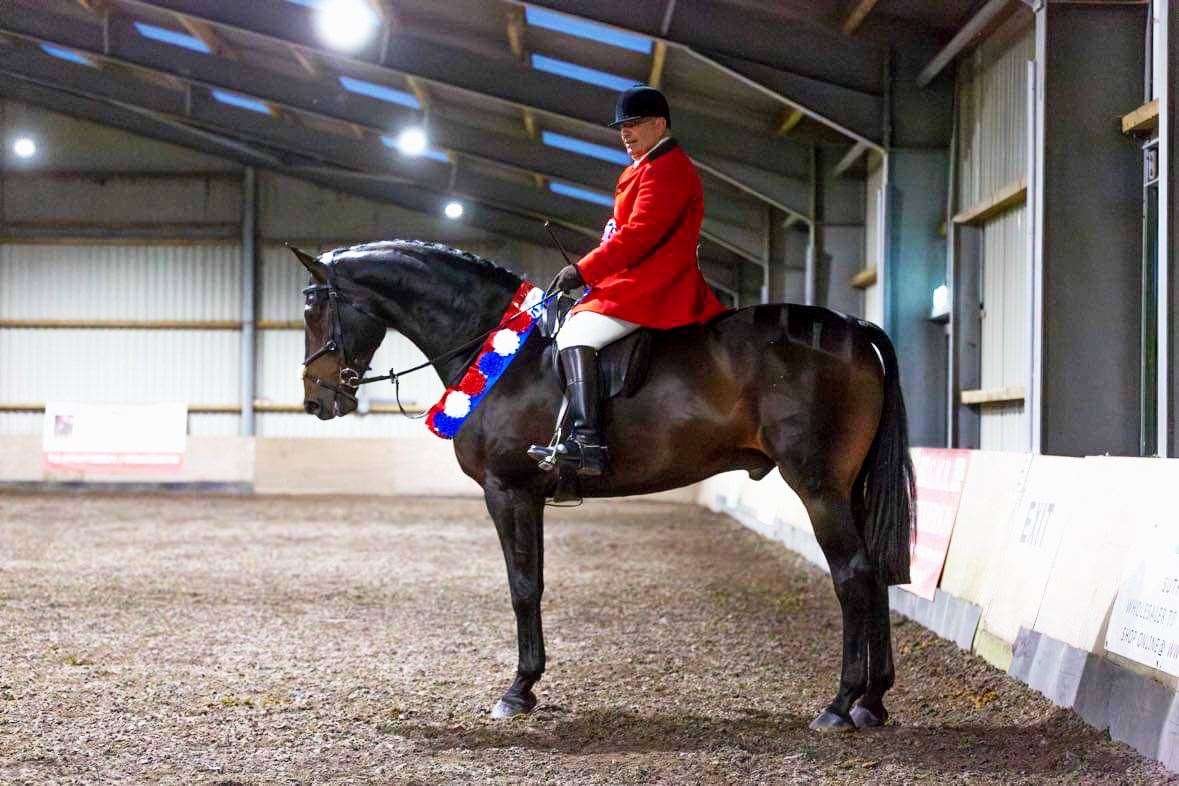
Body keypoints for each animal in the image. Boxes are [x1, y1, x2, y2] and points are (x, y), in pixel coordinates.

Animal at [290, 238, 914, 730]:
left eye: (316, 311)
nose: (317, 400)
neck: (498, 348)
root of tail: (853, 326)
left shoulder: (507, 491)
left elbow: (522, 588)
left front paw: (516, 691)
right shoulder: (530, 497)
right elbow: (535, 583)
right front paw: (528, 687)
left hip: (818, 486)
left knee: (852, 575)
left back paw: (839, 706)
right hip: (848, 487)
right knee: (874, 573)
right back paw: (873, 703)